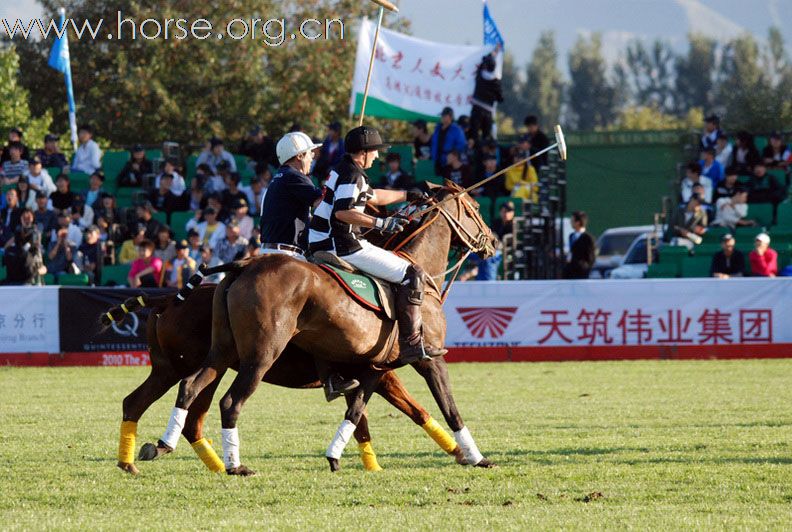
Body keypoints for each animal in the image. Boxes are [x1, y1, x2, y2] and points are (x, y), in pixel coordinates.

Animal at [106, 282, 464, 474]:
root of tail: (168, 298)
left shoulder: (366, 374)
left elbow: (366, 415)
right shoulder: (379, 373)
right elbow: (407, 410)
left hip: (173, 367)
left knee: (145, 403)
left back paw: (140, 460)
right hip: (206, 364)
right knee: (194, 409)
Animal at [170, 184, 498, 474]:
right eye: (476, 207)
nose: (493, 241)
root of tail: (242, 265)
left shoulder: (374, 366)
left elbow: (357, 412)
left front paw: (336, 456)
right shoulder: (429, 358)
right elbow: (449, 408)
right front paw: (477, 458)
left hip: (221, 351)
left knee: (190, 387)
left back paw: (165, 445)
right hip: (261, 355)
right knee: (229, 402)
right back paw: (234, 465)